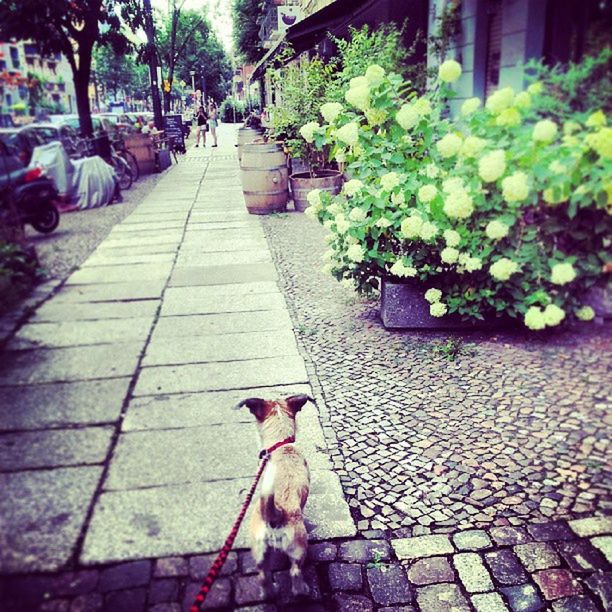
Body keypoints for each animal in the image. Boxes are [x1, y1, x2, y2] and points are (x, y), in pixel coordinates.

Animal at [235, 394, 314, 596]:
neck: (280, 444)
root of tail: (275, 514)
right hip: (299, 548)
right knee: (295, 572)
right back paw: (302, 590)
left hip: (260, 550)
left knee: (263, 575)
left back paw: (269, 592)